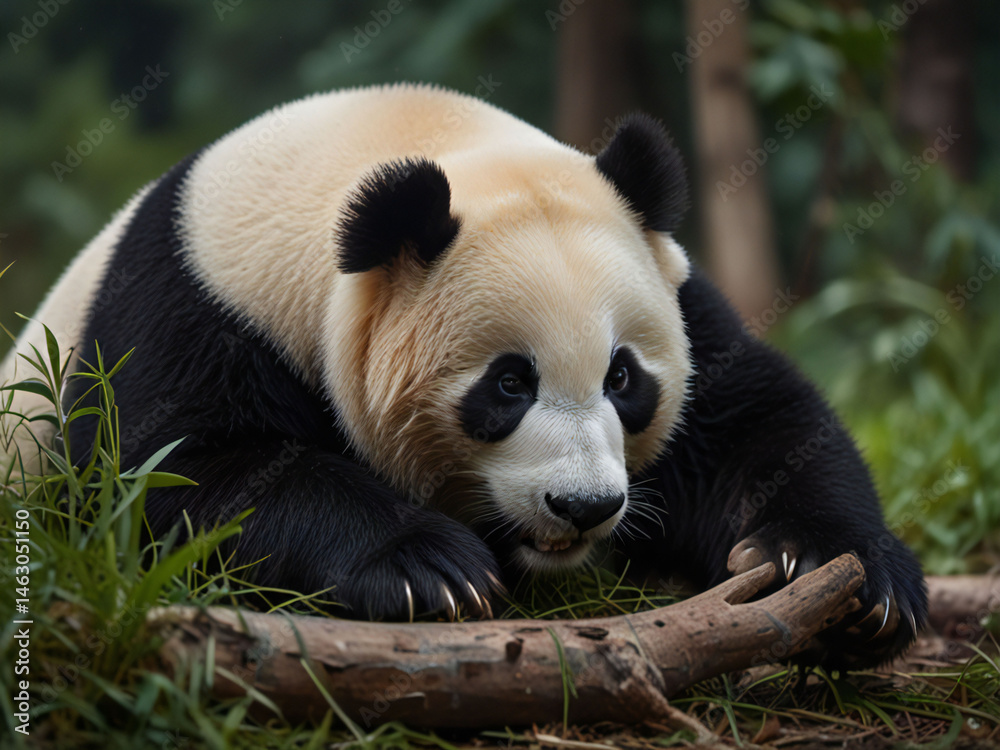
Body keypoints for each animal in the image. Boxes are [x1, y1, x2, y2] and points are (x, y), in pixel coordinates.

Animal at [1, 83, 925, 667]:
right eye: (508, 384)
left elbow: (752, 421)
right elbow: (169, 477)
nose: (585, 507)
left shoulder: (682, 296)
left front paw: (836, 572)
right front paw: (429, 570)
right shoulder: (197, 302)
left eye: (624, 379)